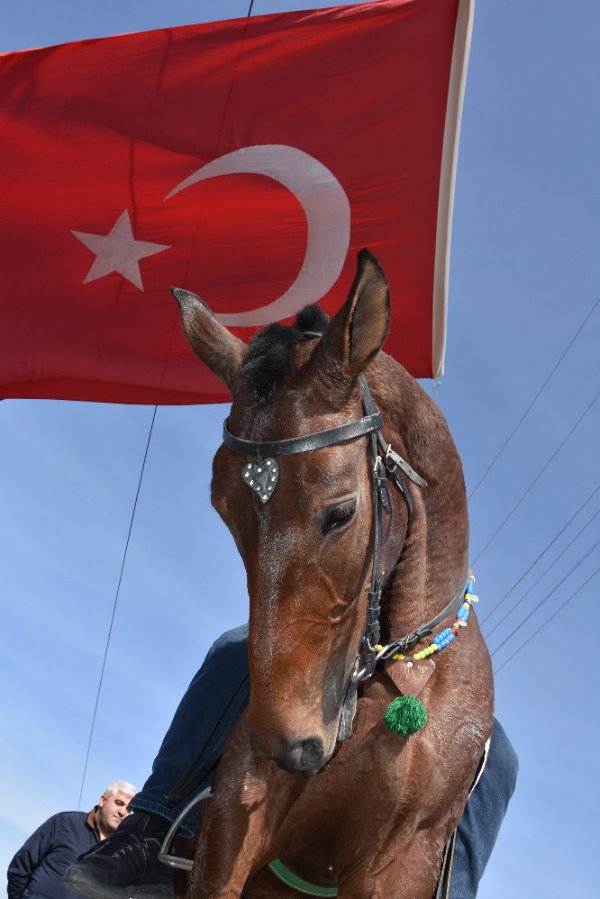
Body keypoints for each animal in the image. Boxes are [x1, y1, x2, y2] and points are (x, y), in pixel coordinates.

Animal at [171, 249, 493, 898]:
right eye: (223, 510)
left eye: (340, 512)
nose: (291, 746)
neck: (400, 681)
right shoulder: (238, 809)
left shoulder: (400, 863)